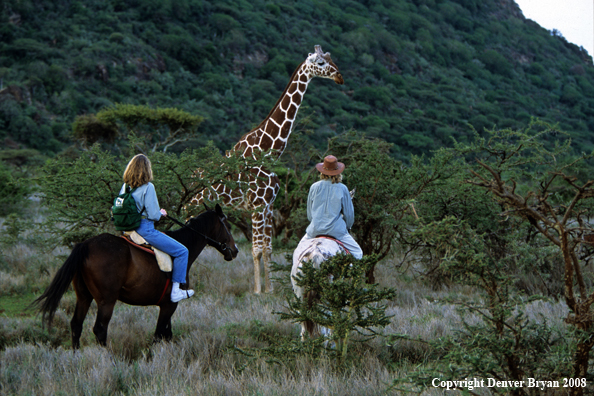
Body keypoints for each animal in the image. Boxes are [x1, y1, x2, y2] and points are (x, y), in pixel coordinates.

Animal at [33, 206, 236, 348]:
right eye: (228, 225)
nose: (234, 251)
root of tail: (86, 245)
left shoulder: (167, 305)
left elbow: (167, 334)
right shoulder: (169, 305)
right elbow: (158, 334)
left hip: (83, 296)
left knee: (76, 325)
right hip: (107, 301)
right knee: (100, 329)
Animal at [188, 45, 342, 294]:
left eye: (330, 59)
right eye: (320, 63)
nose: (339, 77)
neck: (268, 150)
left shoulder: (269, 206)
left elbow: (268, 248)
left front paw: (269, 289)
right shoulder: (257, 206)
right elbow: (256, 249)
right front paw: (258, 291)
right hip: (189, 206)